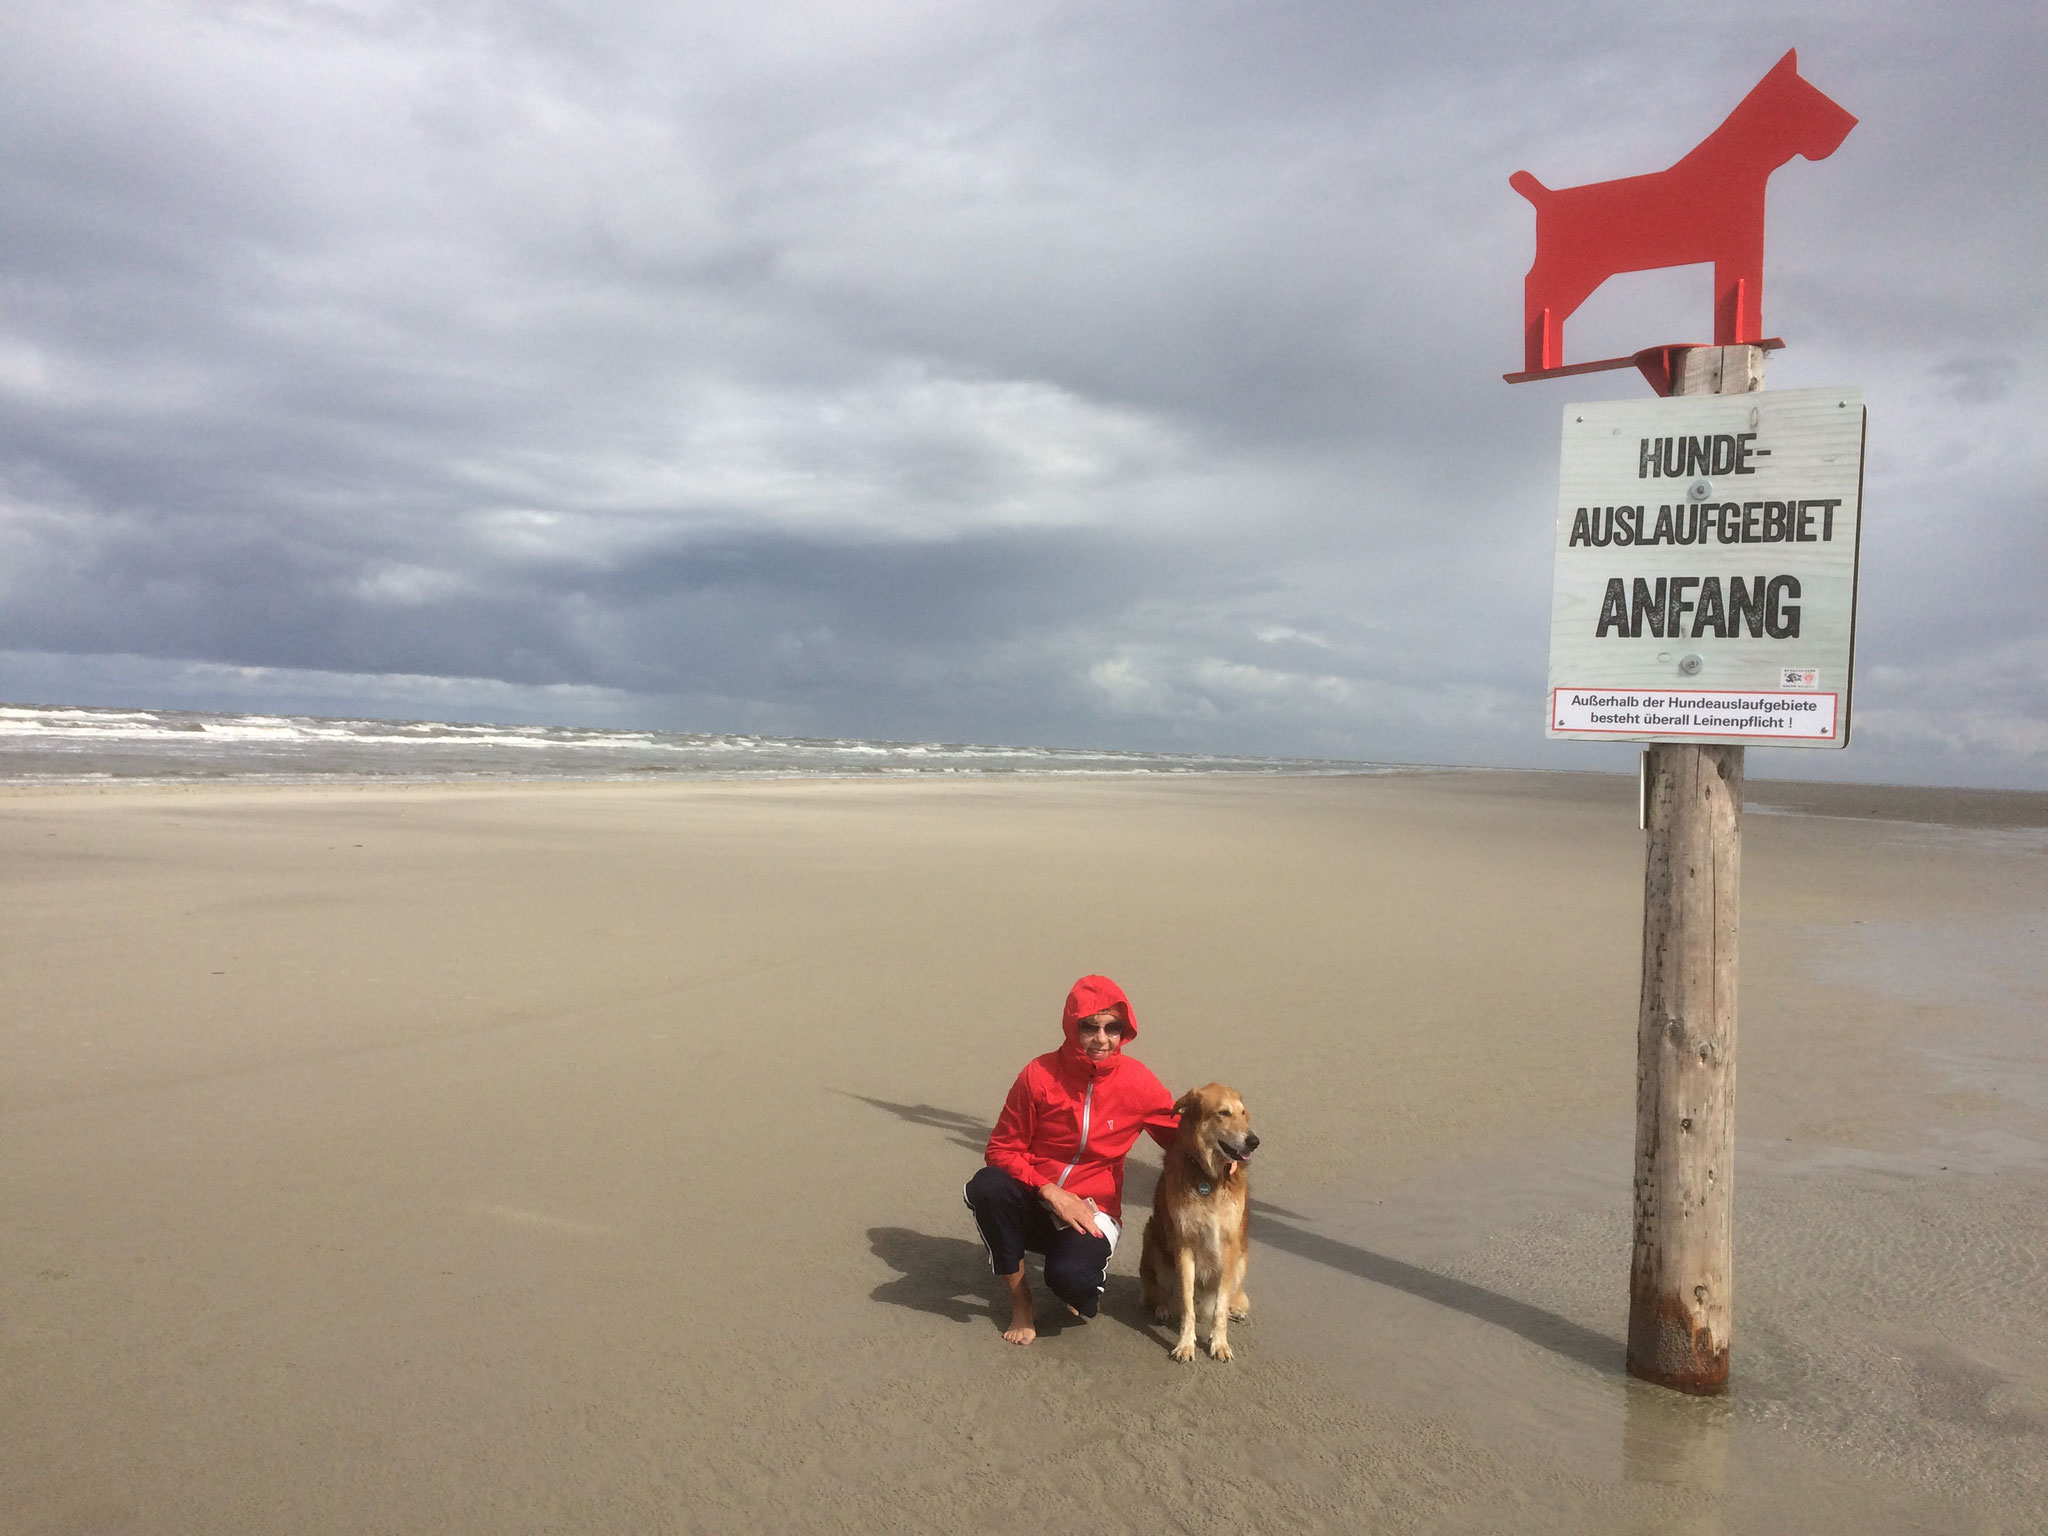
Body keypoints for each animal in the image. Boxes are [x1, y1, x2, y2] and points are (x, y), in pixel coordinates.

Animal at [1146, 1073, 1253, 1368]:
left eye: (1243, 1113)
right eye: (1223, 1113)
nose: (1254, 1141)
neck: (1210, 1177)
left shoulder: (1230, 1247)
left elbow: (1219, 1308)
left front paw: (1219, 1343)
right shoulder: (1184, 1246)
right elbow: (1186, 1303)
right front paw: (1185, 1344)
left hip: (1243, 1254)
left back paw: (1236, 1307)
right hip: (1152, 1237)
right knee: (1157, 1290)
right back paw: (1162, 1307)